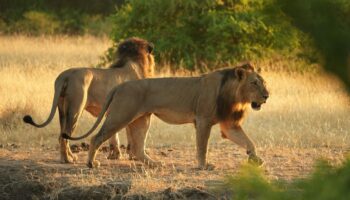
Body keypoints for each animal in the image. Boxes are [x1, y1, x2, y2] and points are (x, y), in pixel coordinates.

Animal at [23, 36, 154, 163]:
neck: (133, 61)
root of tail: (66, 75)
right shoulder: (130, 110)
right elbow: (131, 136)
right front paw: (132, 156)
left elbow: (114, 137)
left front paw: (115, 156)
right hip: (75, 110)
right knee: (64, 136)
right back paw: (67, 160)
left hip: (62, 110)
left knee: (62, 136)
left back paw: (70, 157)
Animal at [63, 63, 270, 169]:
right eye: (254, 83)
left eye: (264, 83)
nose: (267, 96)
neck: (236, 96)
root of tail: (120, 86)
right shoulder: (203, 120)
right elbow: (202, 147)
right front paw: (203, 165)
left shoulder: (229, 124)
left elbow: (249, 141)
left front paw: (255, 159)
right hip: (121, 116)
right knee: (96, 137)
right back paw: (91, 163)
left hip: (142, 120)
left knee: (137, 148)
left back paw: (155, 164)